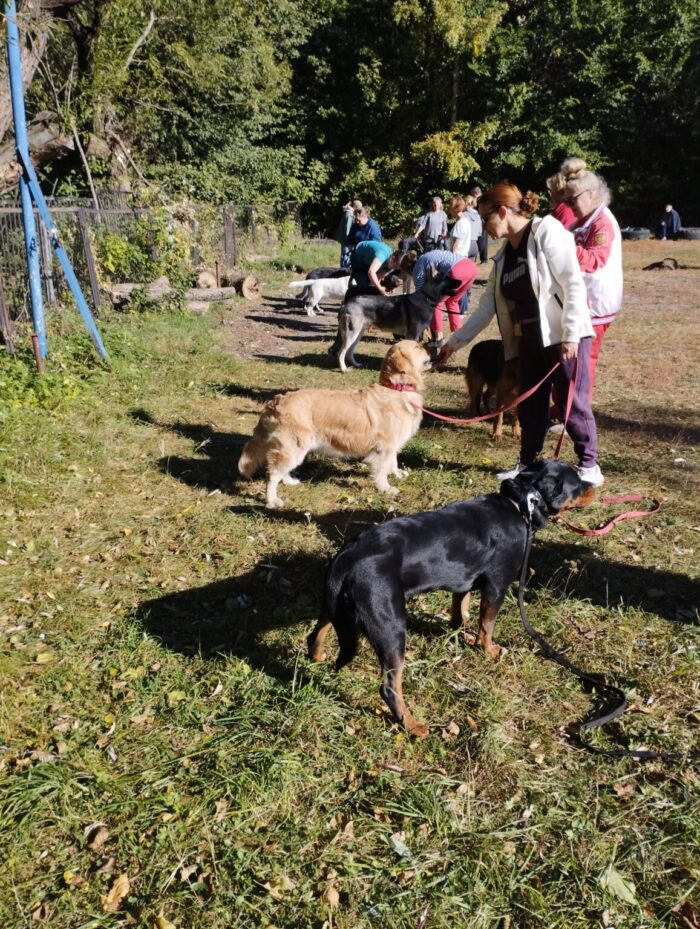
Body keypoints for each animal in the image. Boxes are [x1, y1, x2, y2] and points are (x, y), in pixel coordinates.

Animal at [308, 460, 584, 736]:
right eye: (579, 484)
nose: (591, 485)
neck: (520, 504)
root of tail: (348, 555)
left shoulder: (463, 581)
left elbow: (460, 611)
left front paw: (460, 633)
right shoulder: (496, 586)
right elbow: (487, 624)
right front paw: (489, 651)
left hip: (334, 603)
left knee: (317, 631)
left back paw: (316, 656)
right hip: (390, 626)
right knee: (389, 686)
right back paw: (413, 726)